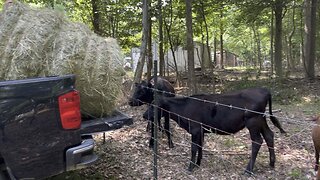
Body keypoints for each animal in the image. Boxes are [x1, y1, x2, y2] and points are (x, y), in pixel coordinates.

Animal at [147, 88, 284, 174]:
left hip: (253, 122)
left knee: (257, 141)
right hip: (261, 119)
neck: (184, 107)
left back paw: (248, 170)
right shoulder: (201, 131)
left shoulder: (195, 129)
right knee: (269, 135)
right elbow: (200, 146)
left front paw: (190, 167)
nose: (144, 115)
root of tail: (264, 90)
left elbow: (194, 148)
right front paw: (197, 163)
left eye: (154, 106)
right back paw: (272, 163)